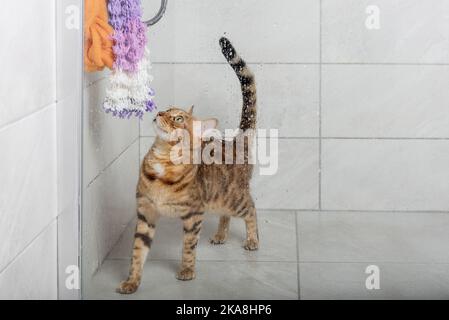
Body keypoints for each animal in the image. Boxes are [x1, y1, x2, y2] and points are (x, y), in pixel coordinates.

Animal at [117, 36, 260, 294]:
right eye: (166, 109)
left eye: (178, 118)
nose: (159, 112)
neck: (163, 160)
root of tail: (235, 140)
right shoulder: (145, 213)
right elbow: (137, 252)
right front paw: (132, 281)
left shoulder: (194, 215)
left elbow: (188, 247)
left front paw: (186, 271)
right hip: (218, 199)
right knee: (226, 215)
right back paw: (221, 234)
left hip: (234, 199)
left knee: (251, 209)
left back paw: (252, 240)